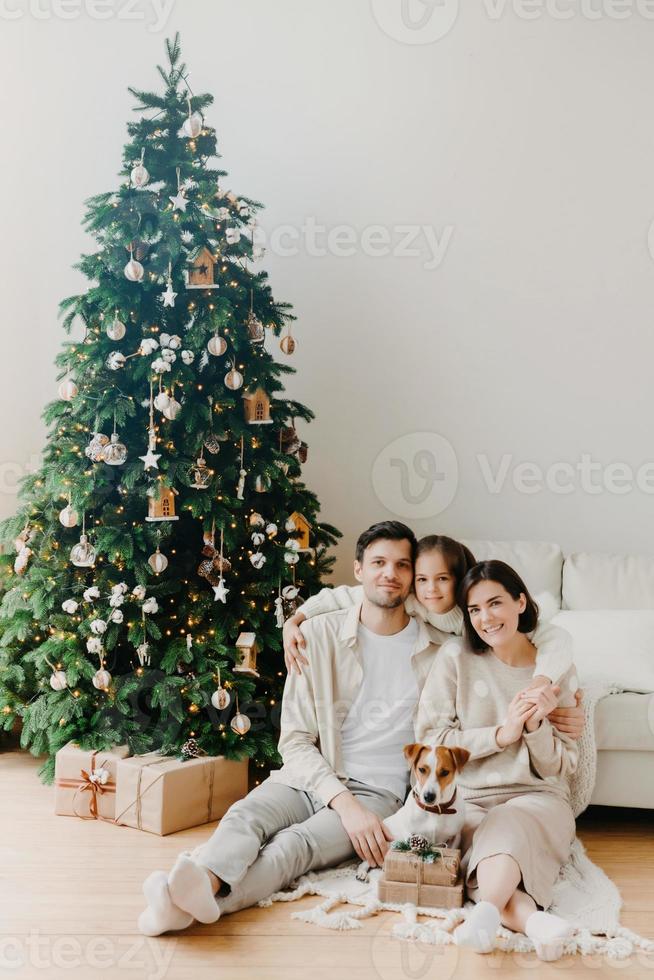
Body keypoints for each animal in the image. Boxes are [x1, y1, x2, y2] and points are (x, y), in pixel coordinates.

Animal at [358, 744, 472, 880]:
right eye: (422, 769)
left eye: (445, 772)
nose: (428, 796)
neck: (434, 811)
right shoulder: (409, 833)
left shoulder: (455, 837)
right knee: (368, 861)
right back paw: (363, 872)